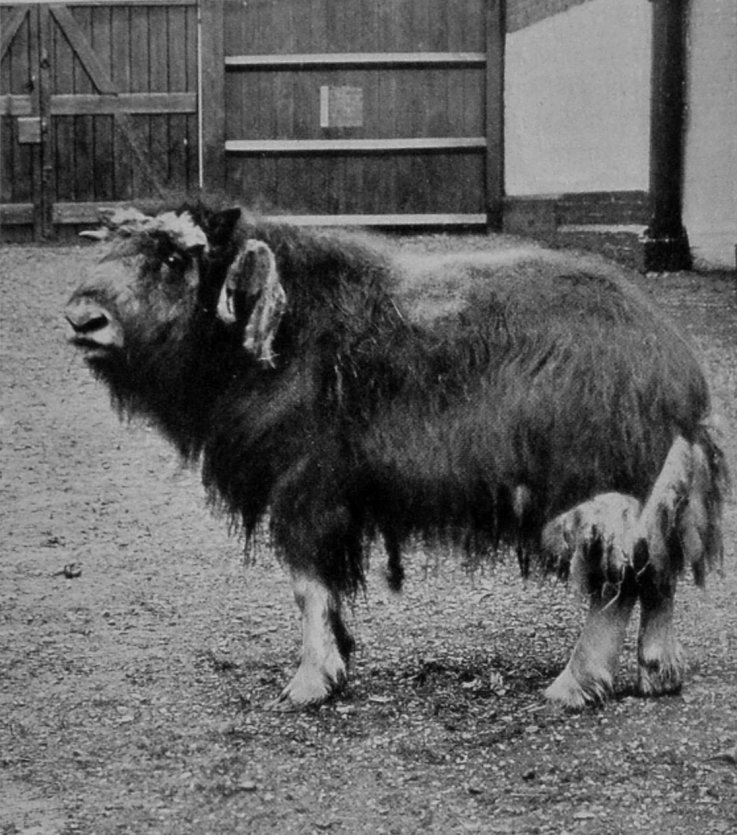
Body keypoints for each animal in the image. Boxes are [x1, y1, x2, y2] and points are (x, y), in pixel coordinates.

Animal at [65, 205, 727, 710]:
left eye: (174, 259)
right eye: (112, 247)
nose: (82, 320)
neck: (279, 334)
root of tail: (673, 366)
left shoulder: (305, 491)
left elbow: (308, 586)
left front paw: (310, 683)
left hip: (595, 494)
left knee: (615, 587)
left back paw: (573, 685)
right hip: (654, 493)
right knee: (657, 575)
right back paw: (657, 673)